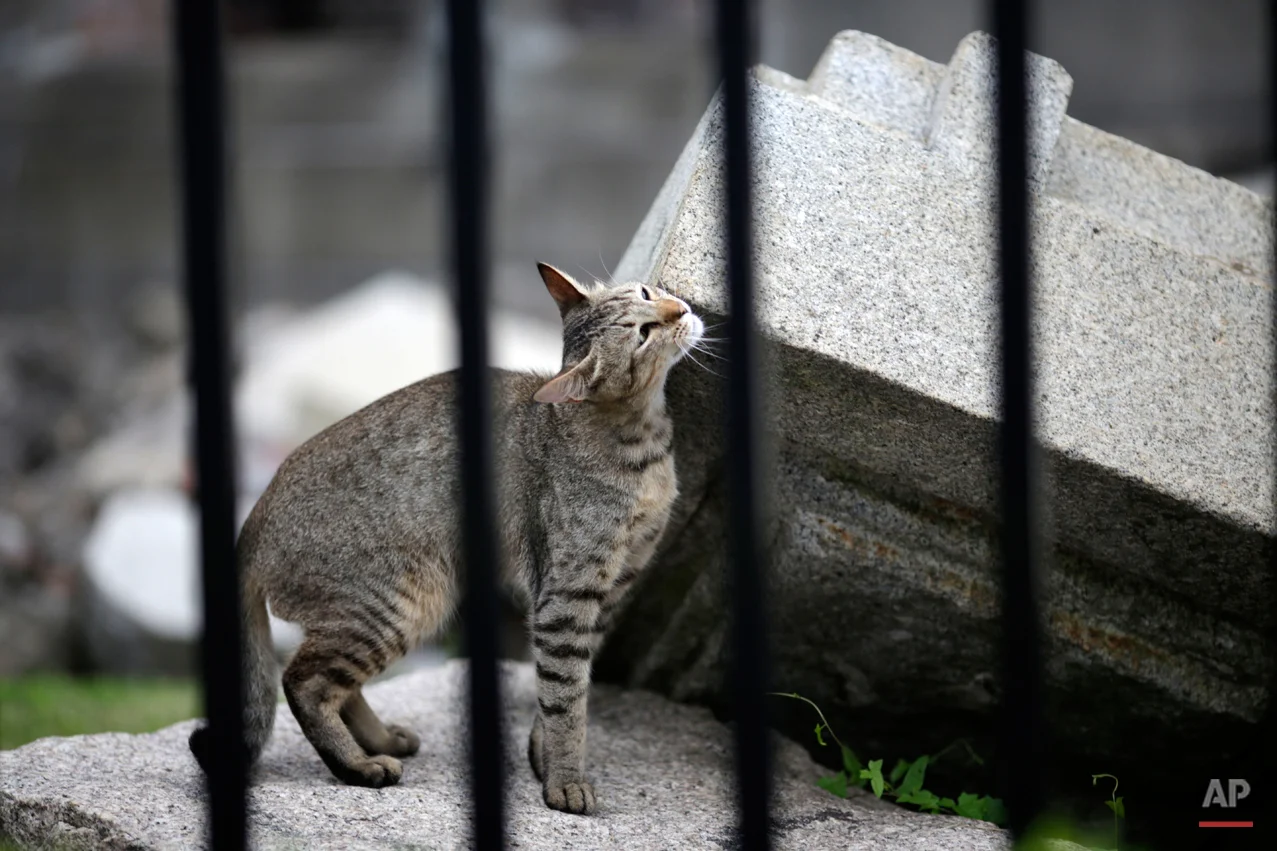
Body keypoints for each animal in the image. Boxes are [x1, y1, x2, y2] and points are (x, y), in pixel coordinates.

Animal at [186, 261, 710, 812]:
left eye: (648, 293)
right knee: (302, 681)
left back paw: (379, 741)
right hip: (399, 603)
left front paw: (542, 756)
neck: (642, 444)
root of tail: (253, 517)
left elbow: (562, 691)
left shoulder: (611, 589)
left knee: (336, 685)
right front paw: (566, 781)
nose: (680, 309)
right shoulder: (566, 596)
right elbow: (567, 698)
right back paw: (357, 765)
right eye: (642, 333)